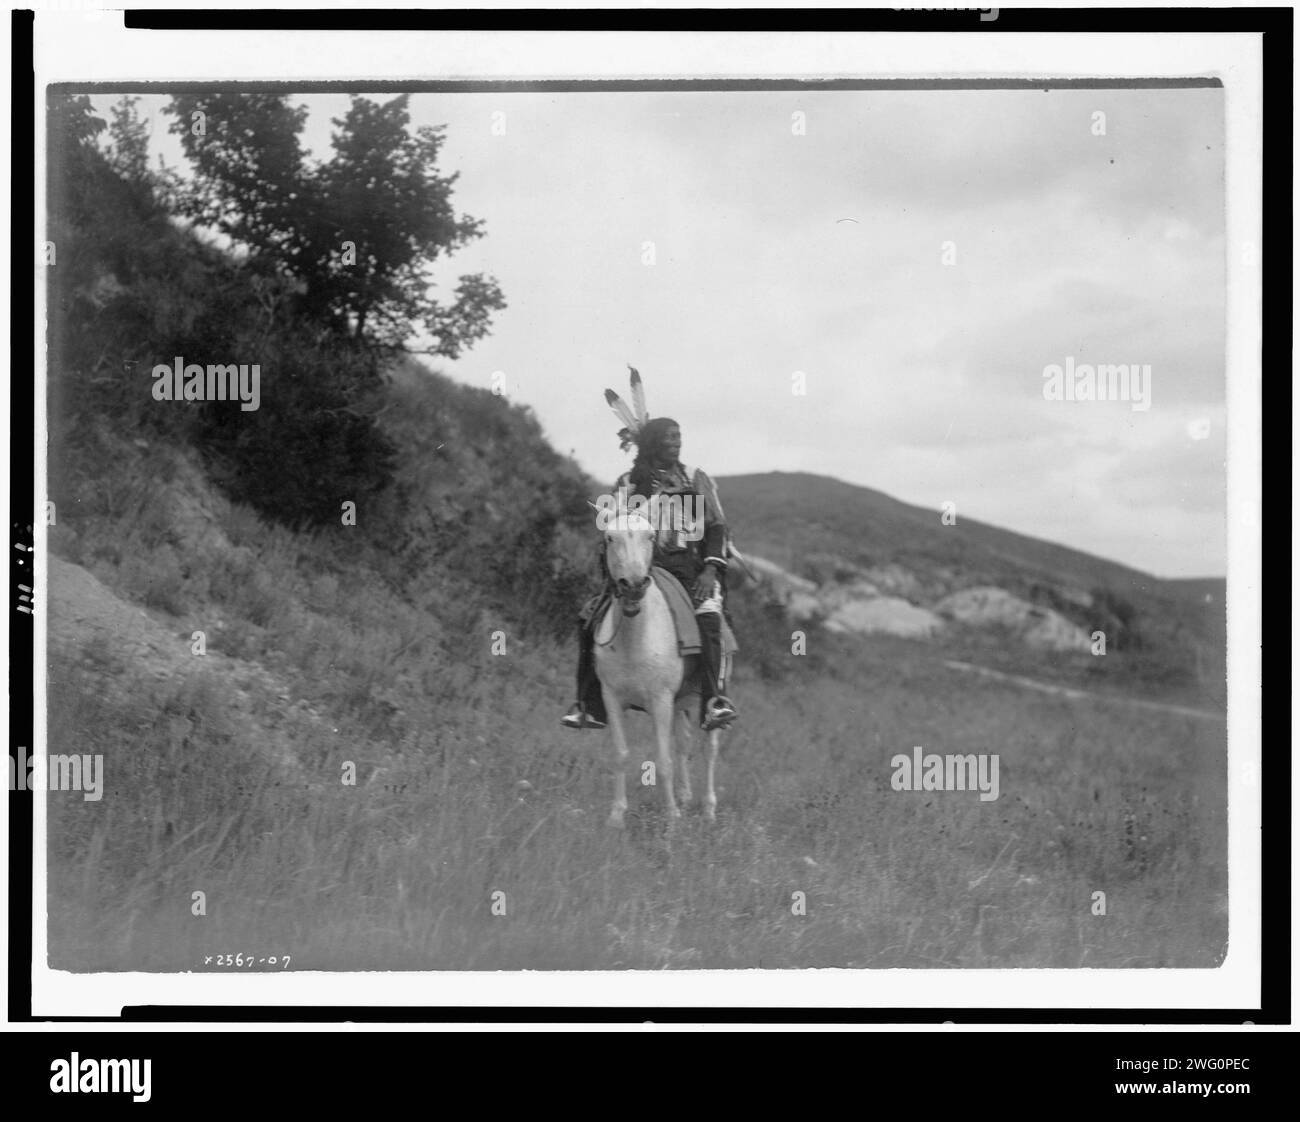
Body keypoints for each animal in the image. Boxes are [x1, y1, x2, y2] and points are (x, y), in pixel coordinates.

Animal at [595, 509, 722, 826]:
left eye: (650, 536)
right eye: (609, 537)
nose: (633, 585)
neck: (635, 638)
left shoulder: (660, 700)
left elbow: (664, 762)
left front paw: (672, 819)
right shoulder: (611, 697)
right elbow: (620, 754)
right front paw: (616, 817)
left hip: (705, 699)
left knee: (709, 748)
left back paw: (708, 810)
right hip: (683, 700)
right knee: (685, 745)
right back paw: (686, 798)